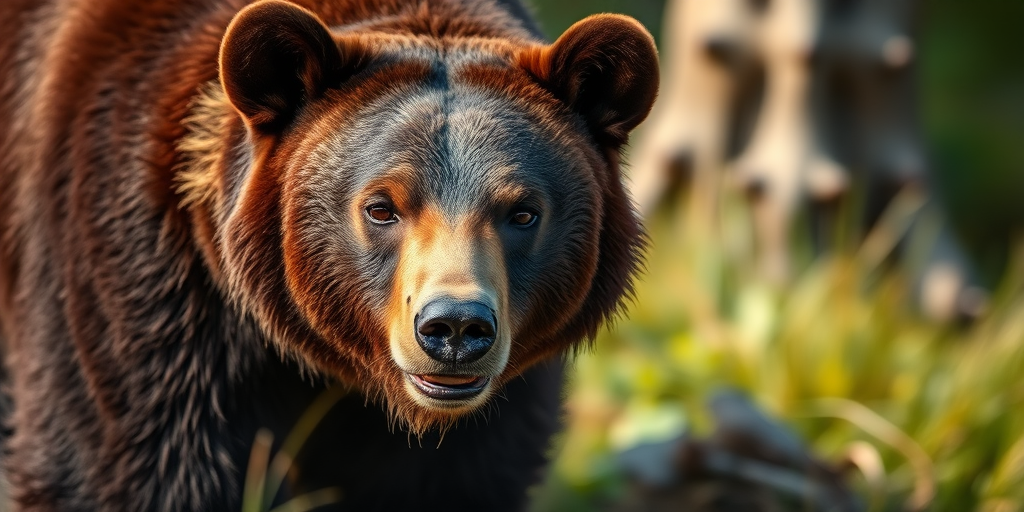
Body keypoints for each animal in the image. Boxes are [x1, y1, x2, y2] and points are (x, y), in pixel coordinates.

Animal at [0, 0, 659, 510]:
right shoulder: (148, 290)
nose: (453, 328)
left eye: (522, 212)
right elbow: (138, 467)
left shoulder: (491, 418)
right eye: (382, 206)